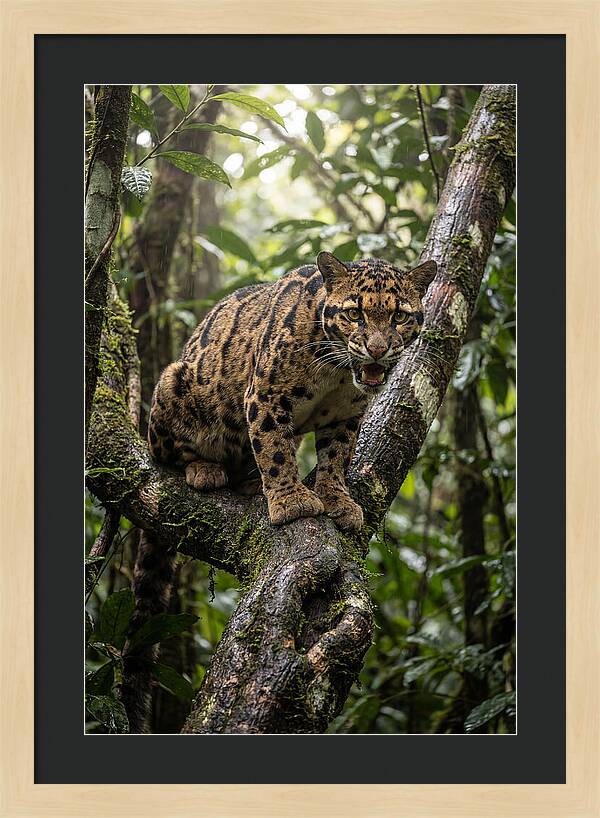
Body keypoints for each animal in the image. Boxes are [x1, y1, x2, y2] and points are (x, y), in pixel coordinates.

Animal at [148, 251, 437, 533]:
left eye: (399, 317)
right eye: (354, 314)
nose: (377, 349)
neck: (337, 372)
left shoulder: (345, 414)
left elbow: (337, 457)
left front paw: (337, 499)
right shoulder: (265, 396)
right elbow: (275, 449)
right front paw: (291, 500)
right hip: (173, 381)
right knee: (169, 456)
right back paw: (205, 469)